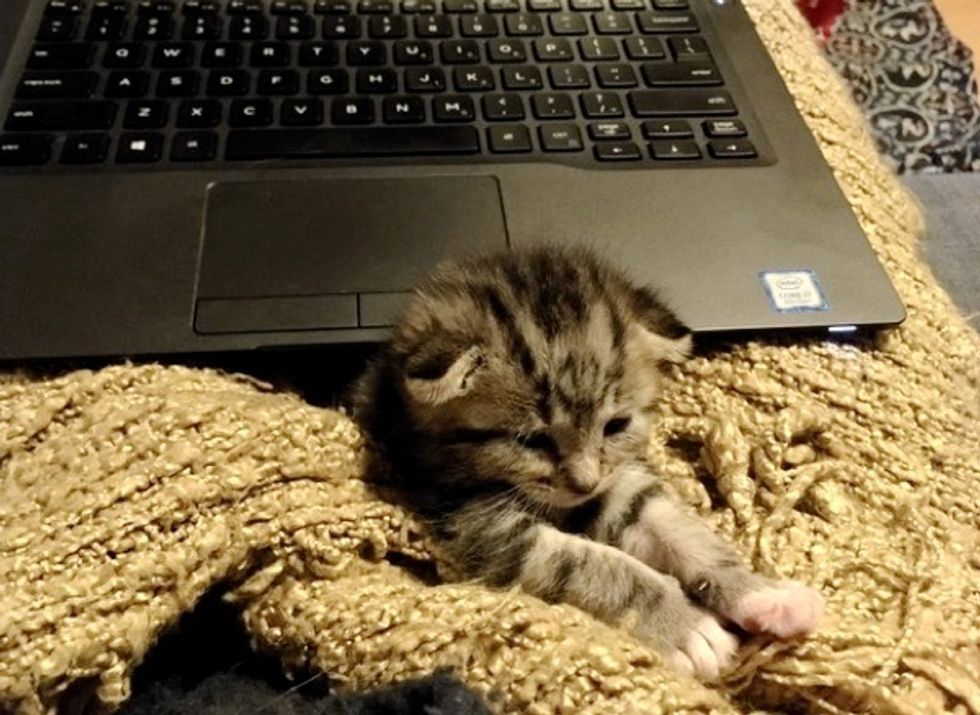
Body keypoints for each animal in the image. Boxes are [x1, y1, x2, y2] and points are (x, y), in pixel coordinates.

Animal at [348, 248, 824, 684]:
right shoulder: (481, 526)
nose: (584, 484)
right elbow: (591, 562)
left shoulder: (617, 486)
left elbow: (679, 530)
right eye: (531, 441)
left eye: (615, 426)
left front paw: (761, 593)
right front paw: (686, 627)